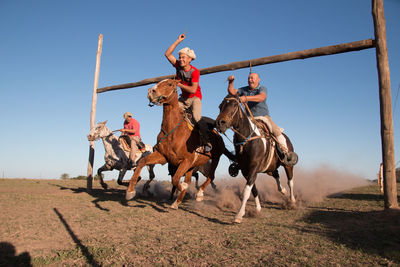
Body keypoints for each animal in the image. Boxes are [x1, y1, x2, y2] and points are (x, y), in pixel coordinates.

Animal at [126, 79, 234, 209]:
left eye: (169, 84)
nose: (151, 91)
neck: (173, 130)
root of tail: (218, 135)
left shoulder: (186, 161)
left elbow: (176, 179)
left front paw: (183, 187)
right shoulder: (164, 156)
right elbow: (142, 161)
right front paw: (130, 191)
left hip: (215, 158)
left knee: (211, 176)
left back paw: (199, 194)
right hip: (191, 167)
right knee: (192, 178)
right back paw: (177, 202)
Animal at [216, 94, 296, 224]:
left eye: (235, 105)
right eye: (220, 106)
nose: (220, 123)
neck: (247, 141)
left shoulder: (253, 169)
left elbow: (246, 191)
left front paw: (239, 215)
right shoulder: (245, 170)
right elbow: (253, 189)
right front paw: (258, 208)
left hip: (288, 165)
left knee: (290, 181)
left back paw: (292, 201)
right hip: (269, 168)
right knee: (276, 174)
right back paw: (282, 190)